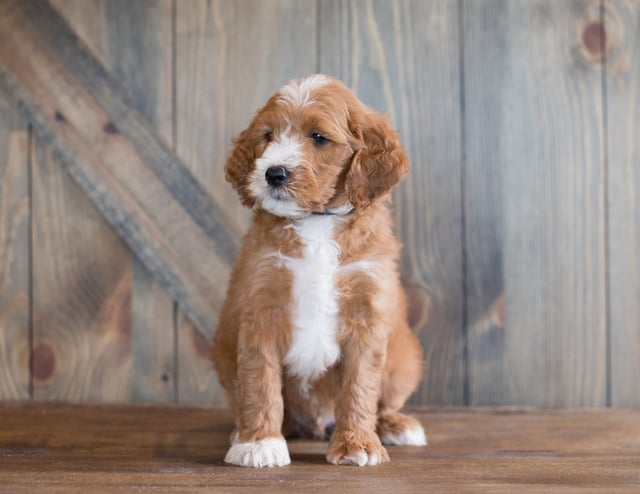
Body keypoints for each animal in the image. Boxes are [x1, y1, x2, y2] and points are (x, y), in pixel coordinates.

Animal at [212, 73, 428, 466]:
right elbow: (260, 381)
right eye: (267, 135)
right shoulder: (260, 306)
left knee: (385, 400)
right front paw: (259, 443)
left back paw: (394, 426)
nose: (274, 173)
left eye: (318, 137)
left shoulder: (367, 311)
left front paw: (358, 443)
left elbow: (360, 386)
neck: (316, 220)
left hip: (405, 358)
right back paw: (247, 430)